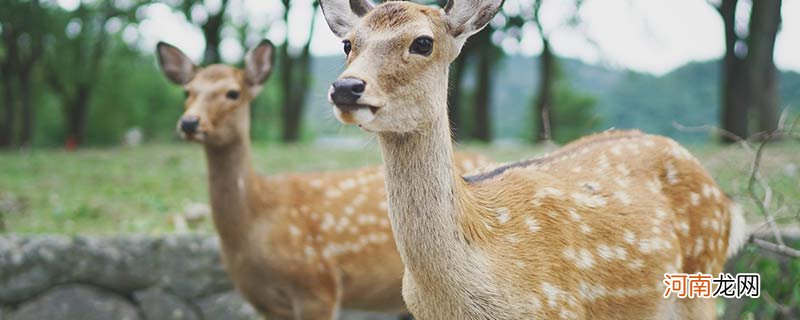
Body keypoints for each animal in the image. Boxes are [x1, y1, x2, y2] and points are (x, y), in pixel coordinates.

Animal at [318, 1, 752, 318]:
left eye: (422, 42)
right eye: (348, 43)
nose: (346, 86)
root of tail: (727, 202)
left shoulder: (558, 307)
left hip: (701, 282)